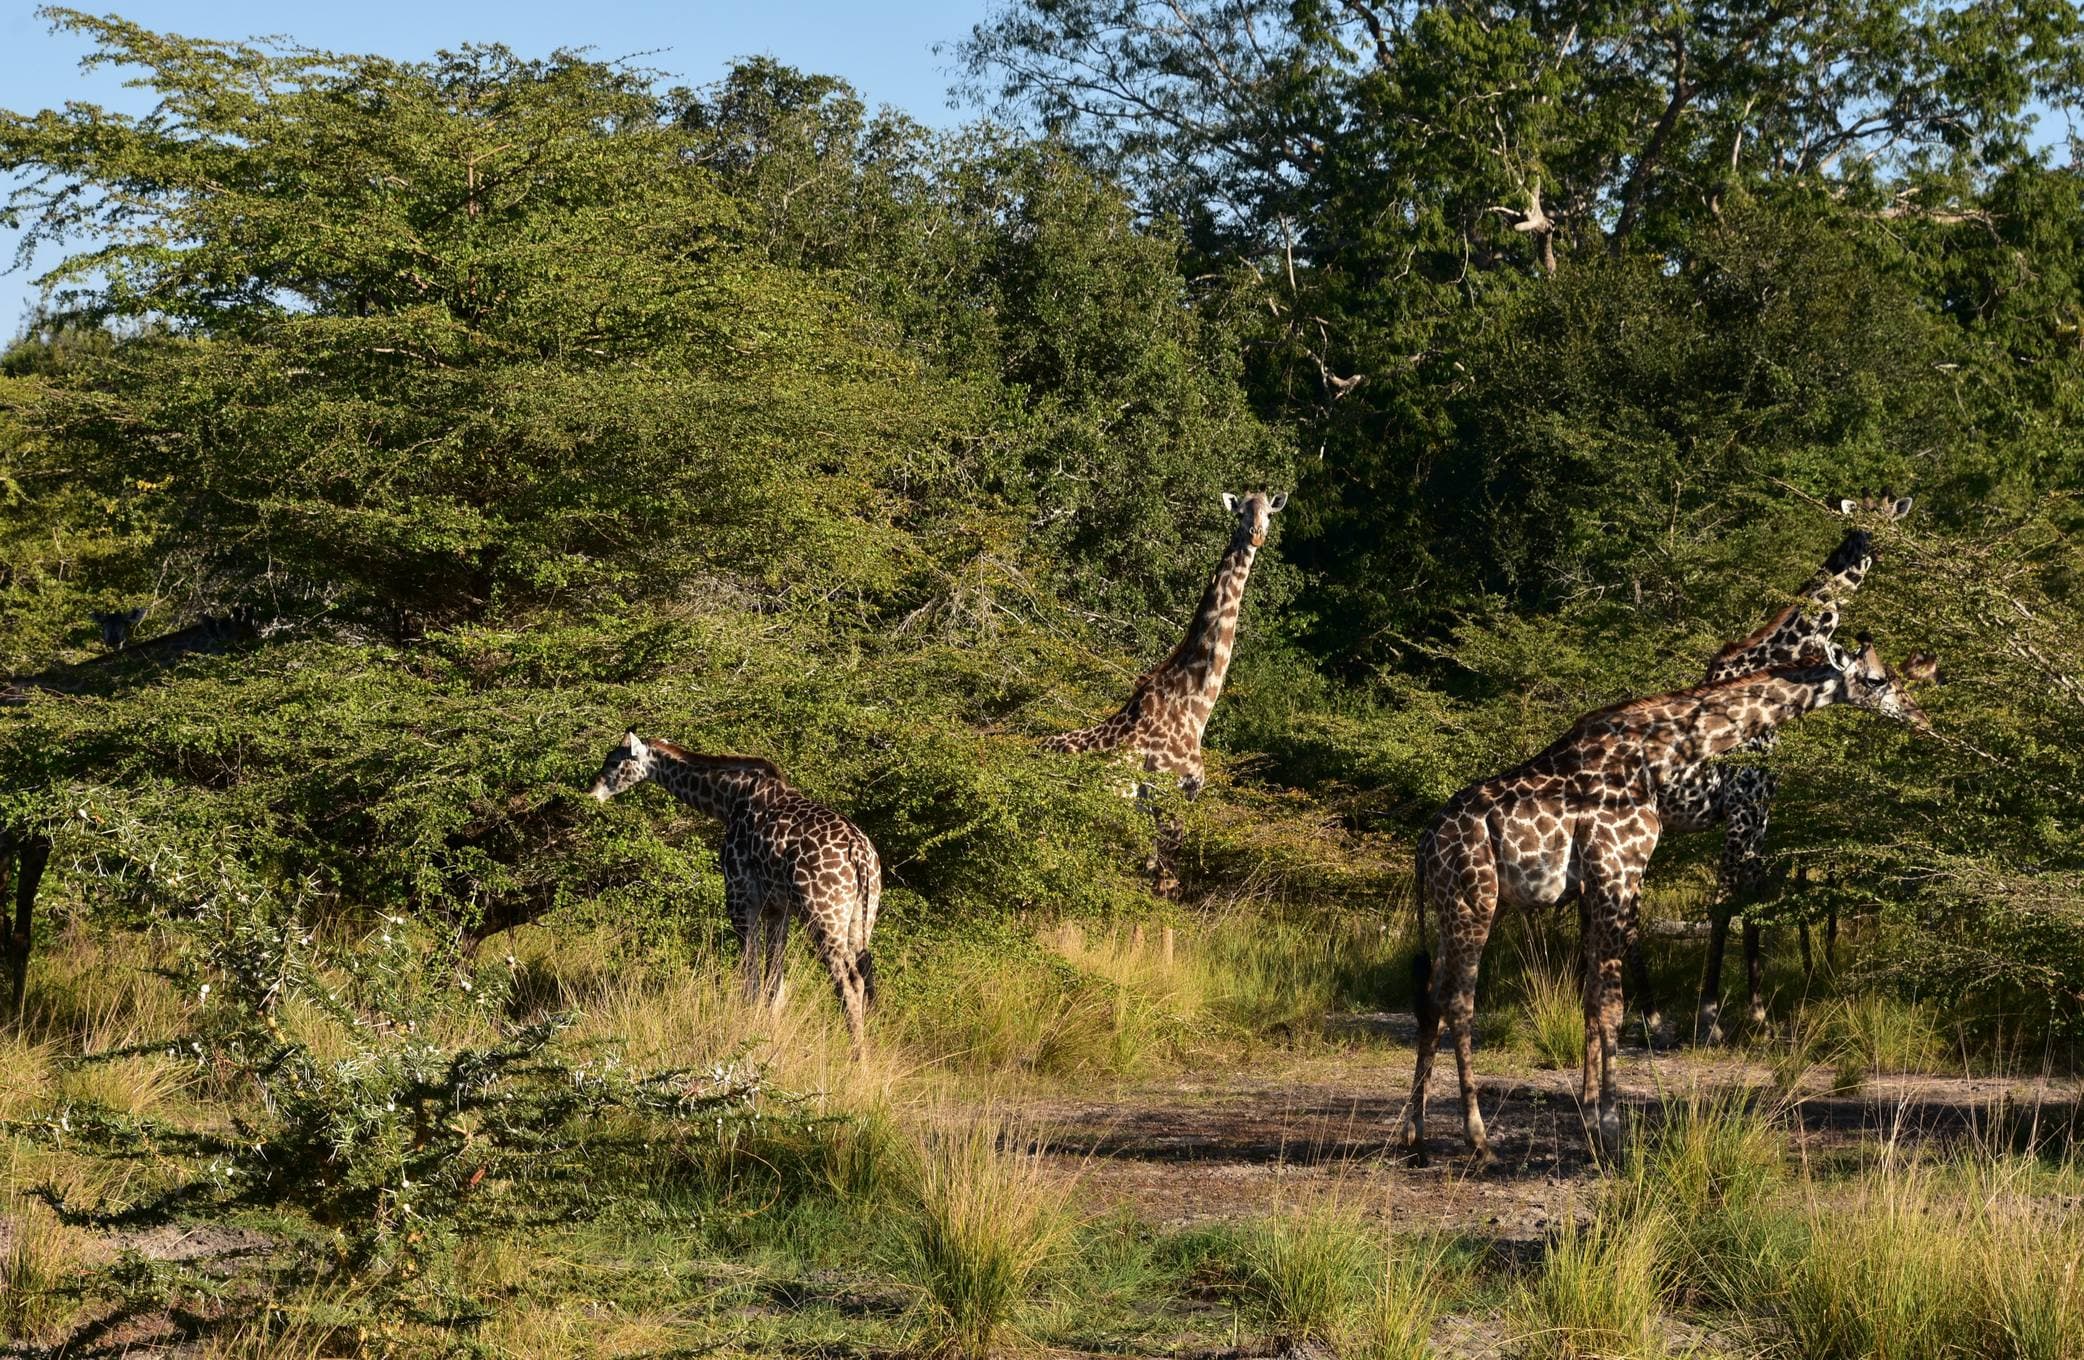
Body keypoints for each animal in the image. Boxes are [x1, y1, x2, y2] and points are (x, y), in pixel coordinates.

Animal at [588, 733, 881, 1055]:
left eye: (614, 761)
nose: (591, 792)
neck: (728, 800)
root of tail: (859, 853)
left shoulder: (740, 897)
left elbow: (750, 978)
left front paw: (747, 1031)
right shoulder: (777, 908)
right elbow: (774, 982)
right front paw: (768, 1034)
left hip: (822, 916)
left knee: (848, 982)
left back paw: (858, 1058)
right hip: (860, 919)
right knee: (864, 978)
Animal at [1043, 490, 1287, 892]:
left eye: (1268, 512)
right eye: (1240, 513)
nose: (1255, 536)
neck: (1193, 705)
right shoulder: (1171, 795)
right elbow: (1165, 884)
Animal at [1403, 642, 1930, 1164]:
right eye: (1878, 679)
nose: (1917, 714)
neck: (1655, 755)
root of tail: (1425, 845)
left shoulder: (1602, 883)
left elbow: (1592, 1000)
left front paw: (1593, 1121)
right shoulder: (1618, 870)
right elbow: (1611, 1005)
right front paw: (1613, 1132)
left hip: (1450, 907)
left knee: (1430, 997)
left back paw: (1416, 1134)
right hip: (1475, 900)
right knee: (1459, 1002)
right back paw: (1479, 1140)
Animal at [1630, 494, 1915, 1041]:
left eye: (1893, 517)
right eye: (1866, 525)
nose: (1888, 547)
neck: (1767, 659)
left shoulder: (1759, 811)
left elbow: (1752, 897)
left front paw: (1756, 1013)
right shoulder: (1746, 804)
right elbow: (1726, 900)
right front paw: (1713, 1017)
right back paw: (1652, 1017)